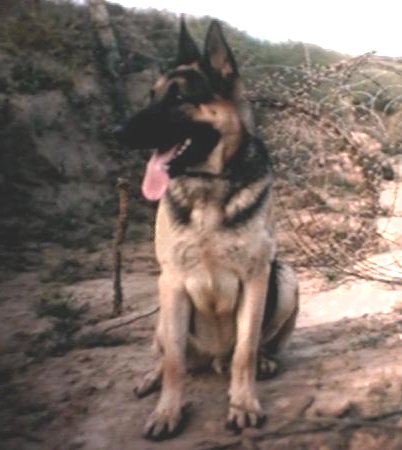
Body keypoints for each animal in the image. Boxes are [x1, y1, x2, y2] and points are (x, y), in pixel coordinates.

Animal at [115, 19, 298, 442]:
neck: (208, 185)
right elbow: (175, 363)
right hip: (164, 309)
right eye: (151, 96)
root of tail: (213, 358)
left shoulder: (256, 278)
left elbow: (245, 351)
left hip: (286, 277)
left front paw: (244, 405)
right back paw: (151, 376)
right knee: (169, 353)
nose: (117, 132)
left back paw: (264, 361)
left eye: (180, 97)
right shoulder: (173, 281)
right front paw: (167, 412)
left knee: (253, 348)